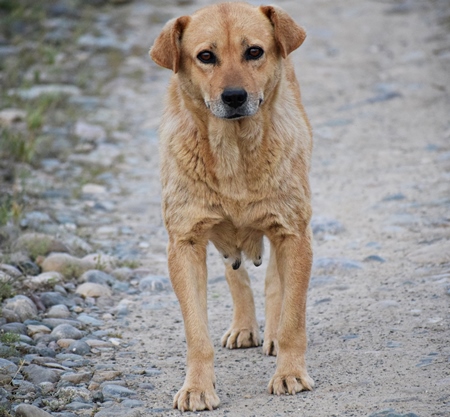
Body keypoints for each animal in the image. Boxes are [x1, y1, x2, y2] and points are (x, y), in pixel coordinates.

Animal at [149, 1, 314, 412]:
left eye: (254, 51)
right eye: (206, 56)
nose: (235, 97)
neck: (234, 152)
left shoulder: (293, 233)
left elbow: (293, 318)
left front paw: (290, 373)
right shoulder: (185, 243)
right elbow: (196, 333)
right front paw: (196, 387)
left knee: (274, 283)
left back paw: (270, 336)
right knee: (235, 273)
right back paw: (243, 327)